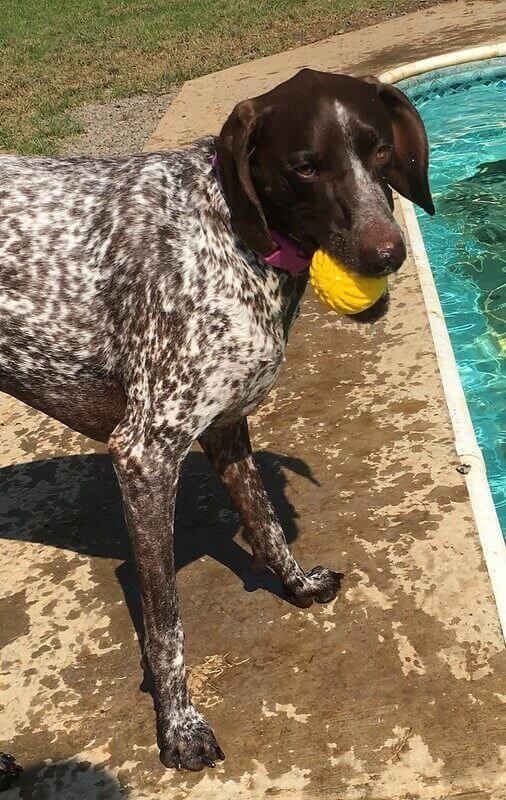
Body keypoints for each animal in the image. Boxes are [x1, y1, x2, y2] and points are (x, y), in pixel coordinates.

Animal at [0, 70, 432, 780]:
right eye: (305, 167)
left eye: (377, 150)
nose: (386, 254)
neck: (228, 230)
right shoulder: (144, 455)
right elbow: (166, 625)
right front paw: (179, 728)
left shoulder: (226, 429)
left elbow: (264, 521)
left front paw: (296, 584)